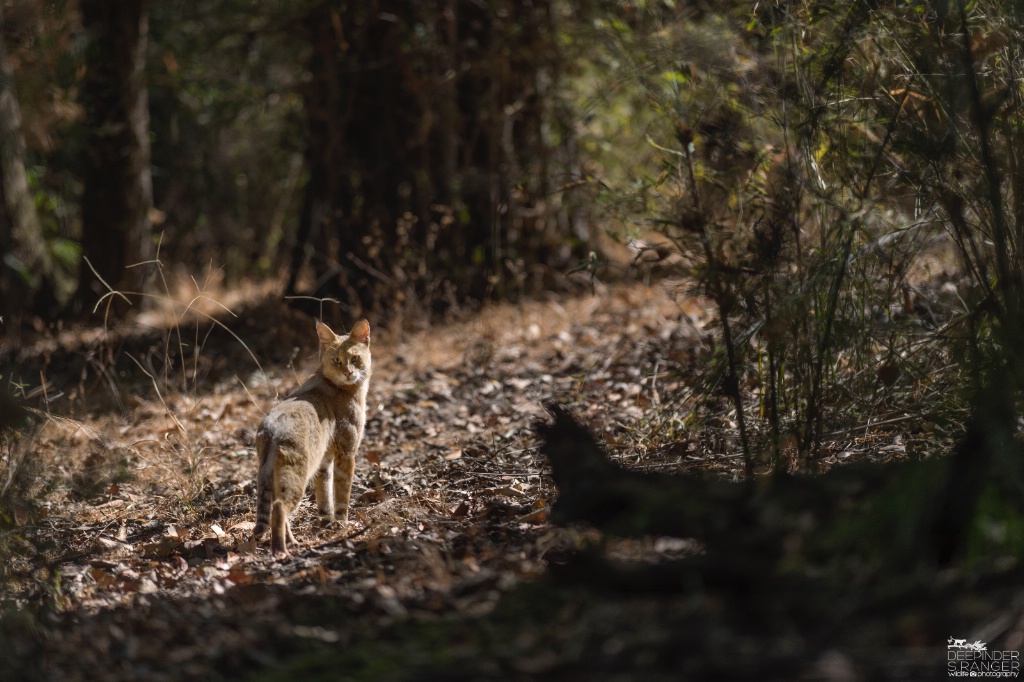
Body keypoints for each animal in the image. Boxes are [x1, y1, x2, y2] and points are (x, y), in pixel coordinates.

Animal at [251, 317, 372, 552]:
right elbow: (342, 493)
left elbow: (324, 495)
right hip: (296, 475)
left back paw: (291, 541)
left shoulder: (324, 460)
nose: (348, 372)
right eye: (336, 360)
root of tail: (270, 428)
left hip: (273, 474)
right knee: (279, 508)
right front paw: (342, 524)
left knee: (276, 509)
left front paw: (326, 523)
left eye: (354, 358)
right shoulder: (347, 453)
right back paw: (281, 550)